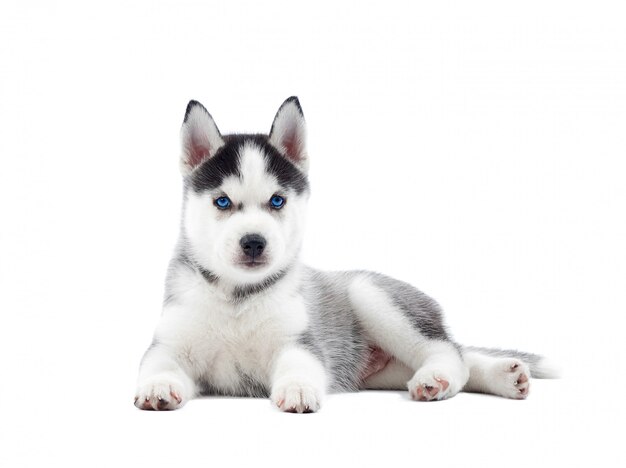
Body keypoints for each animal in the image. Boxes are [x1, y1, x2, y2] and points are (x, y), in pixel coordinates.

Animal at [134, 97, 552, 412]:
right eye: (222, 201)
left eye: (277, 201)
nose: (254, 242)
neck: (238, 296)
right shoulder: (169, 345)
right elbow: (157, 365)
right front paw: (157, 387)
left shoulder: (302, 343)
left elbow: (300, 365)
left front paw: (298, 388)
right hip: (384, 370)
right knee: (463, 355)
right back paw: (505, 375)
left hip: (371, 295)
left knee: (449, 352)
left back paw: (439, 378)